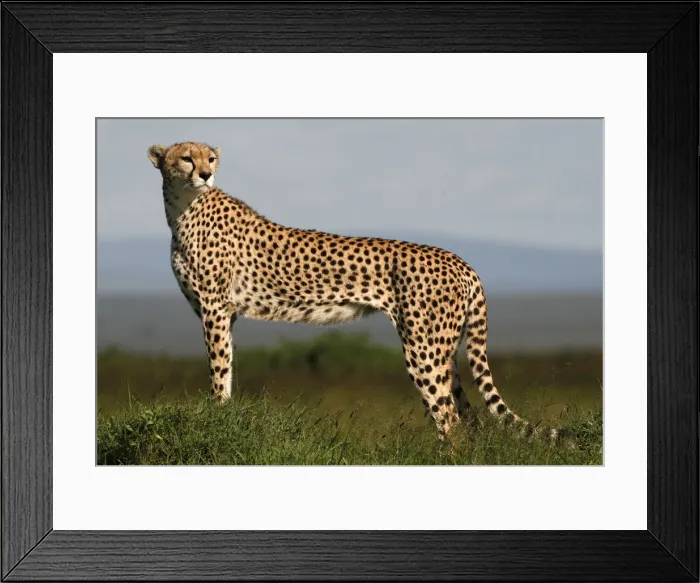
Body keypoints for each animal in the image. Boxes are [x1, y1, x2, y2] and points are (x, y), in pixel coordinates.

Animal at [147, 140, 569, 444]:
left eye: (211, 158)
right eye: (186, 158)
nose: (205, 174)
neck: (183, 207)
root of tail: (460, 260)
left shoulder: (215, 309)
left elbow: (218, 369)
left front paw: (218, 416)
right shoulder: (224, 313)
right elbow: (228, 366)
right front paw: (223, 413)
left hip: (423, 349)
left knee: (449, 420)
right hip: (445, 350)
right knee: (467, 418)